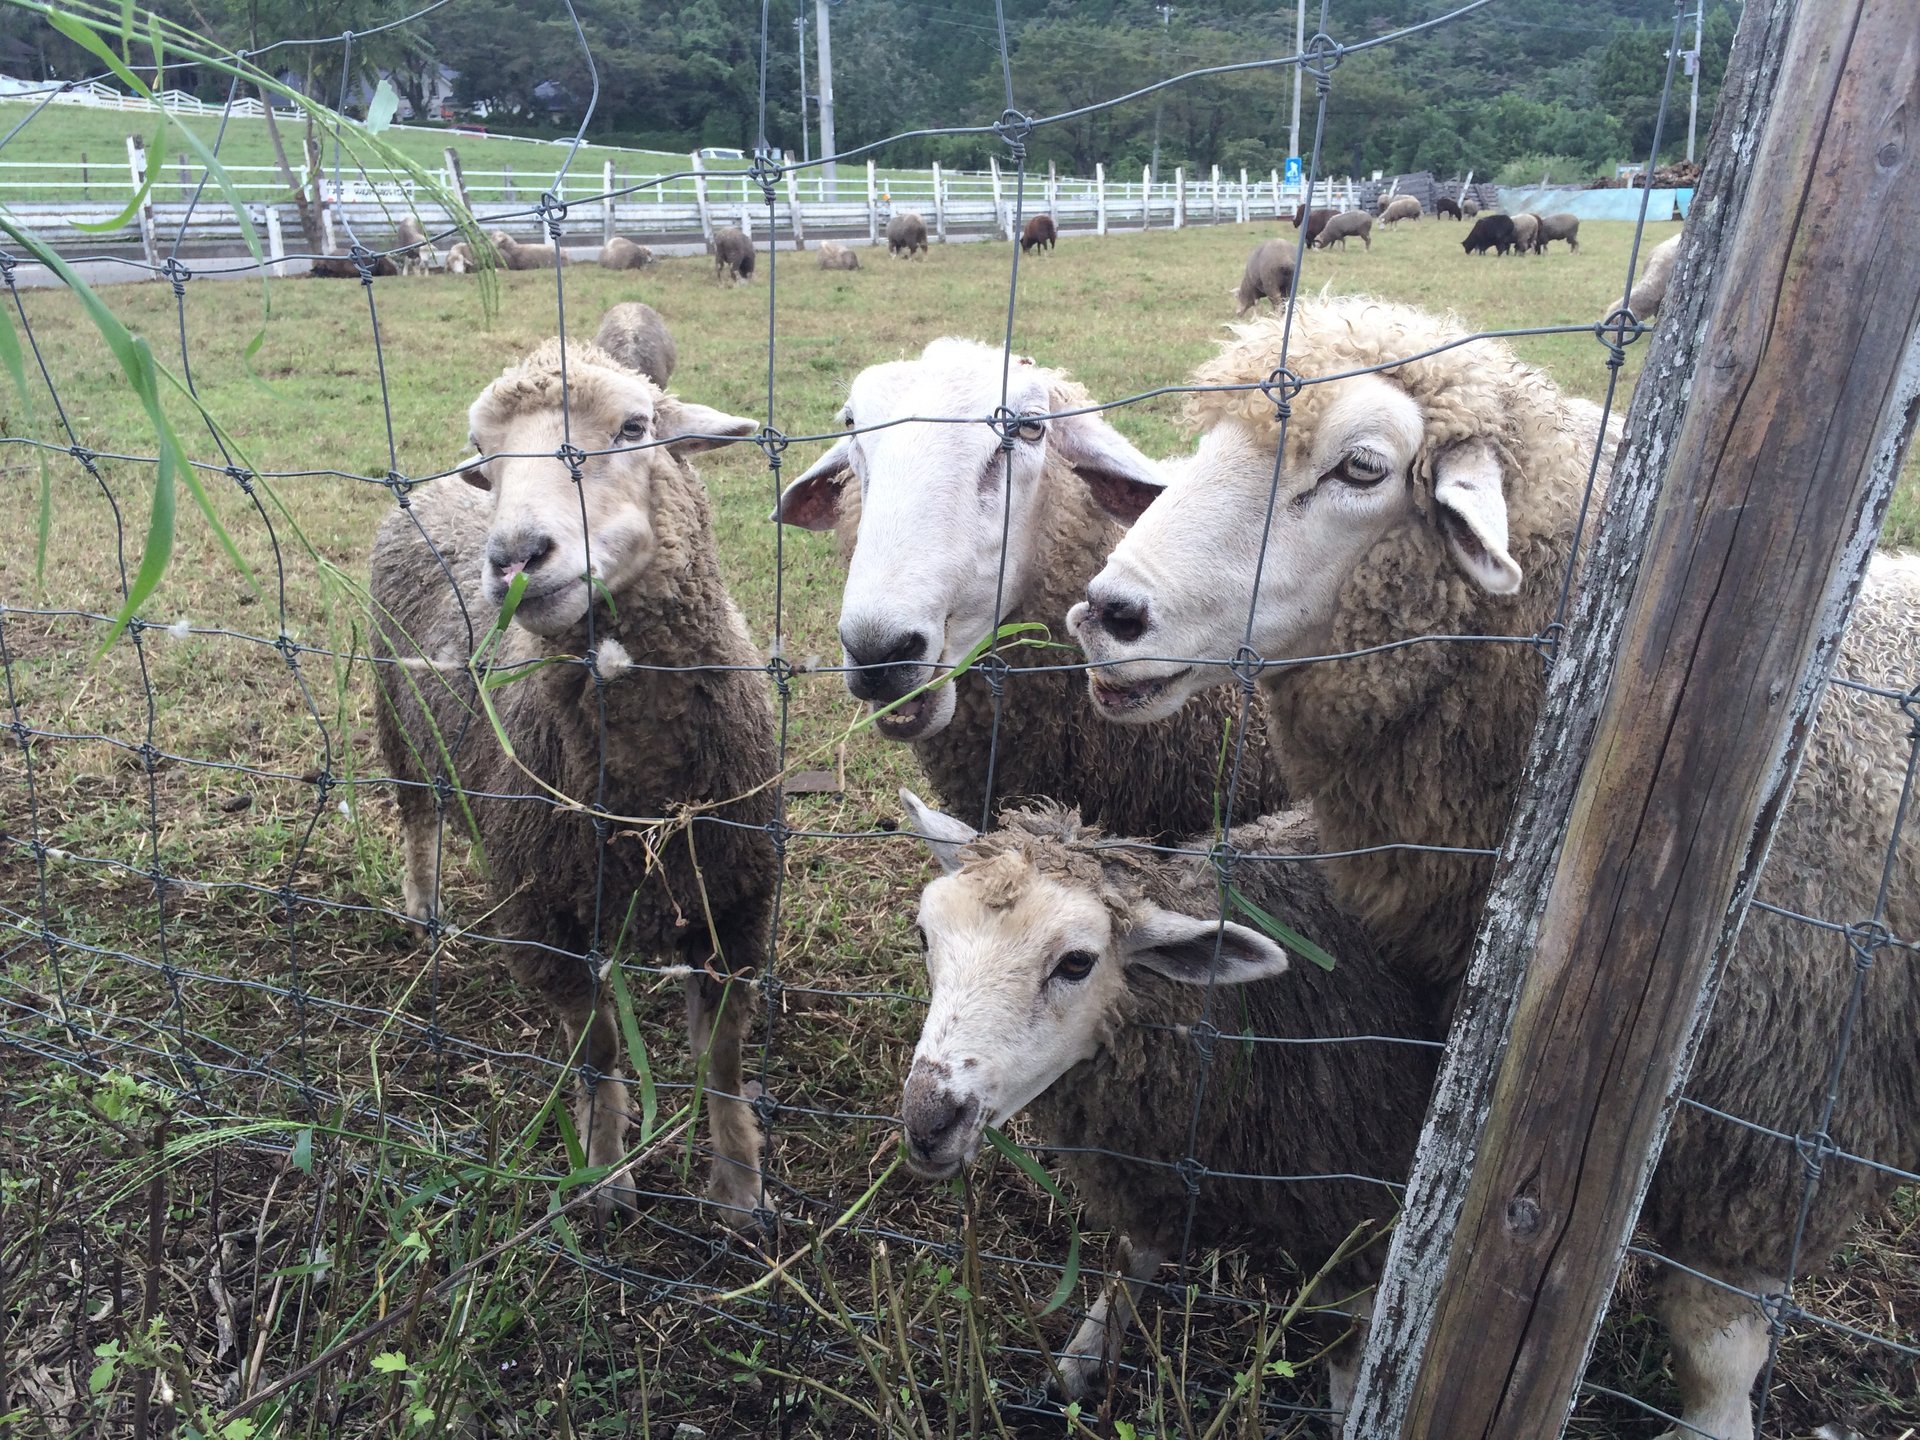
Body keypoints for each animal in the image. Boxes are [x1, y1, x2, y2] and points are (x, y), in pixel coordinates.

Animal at [366, 332, 771, 1221]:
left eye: (634, 427)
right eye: (487, 454)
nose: (516, 558)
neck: (644, 797)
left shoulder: (733, 907)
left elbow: (723, 1064)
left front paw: (739, 1190)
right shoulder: (541, 913)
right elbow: (597, 1049)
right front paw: (606, 1172)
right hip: (395, 716)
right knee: (419, 816)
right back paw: (424, 905)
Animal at [898, 791, 1443, 1413]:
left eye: (1077, 962)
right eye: (924, 937)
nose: (927, 1122)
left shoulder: (1352, 1201)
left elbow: (1350, 1345)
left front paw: (1351, 1412)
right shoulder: (1153, 1166)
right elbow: (1129, 1260)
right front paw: (1081, 1360)